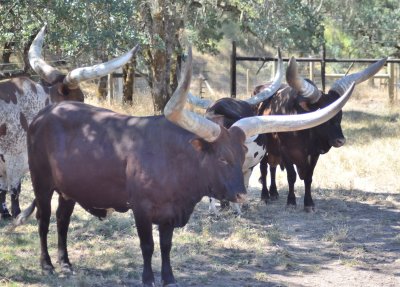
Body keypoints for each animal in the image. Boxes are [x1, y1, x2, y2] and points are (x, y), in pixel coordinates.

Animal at [0, 25, 139, 219]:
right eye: (79, 99)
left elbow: (3, 189)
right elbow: (14, 190)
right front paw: (16, 213)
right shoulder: (15, 157)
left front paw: (5, 213)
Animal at [14, 46, 354, 286]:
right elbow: (148, 245)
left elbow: (166, 246)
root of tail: (45, 114)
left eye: (241, 152)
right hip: (42, 183)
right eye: (221, 158)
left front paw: (169, 278)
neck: (176, 160)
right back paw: (47, 265)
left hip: (68, 189)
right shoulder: (142, 209)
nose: (241, 196)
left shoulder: (170, 213)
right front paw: (148, 279)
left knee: (62, 220)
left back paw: (66, 263)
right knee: (44, 220)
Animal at [258, 57, 386, 213]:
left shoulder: (314, 153)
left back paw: (274, 192)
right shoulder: (285, 151)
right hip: (264, 149)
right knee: (264, 169)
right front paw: (291, 201)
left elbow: (308, 177)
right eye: (324, 116)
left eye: (340, 115)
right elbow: (291, 176)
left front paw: (309, 203)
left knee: (272, 167)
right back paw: (265, 195)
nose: (340, 140)